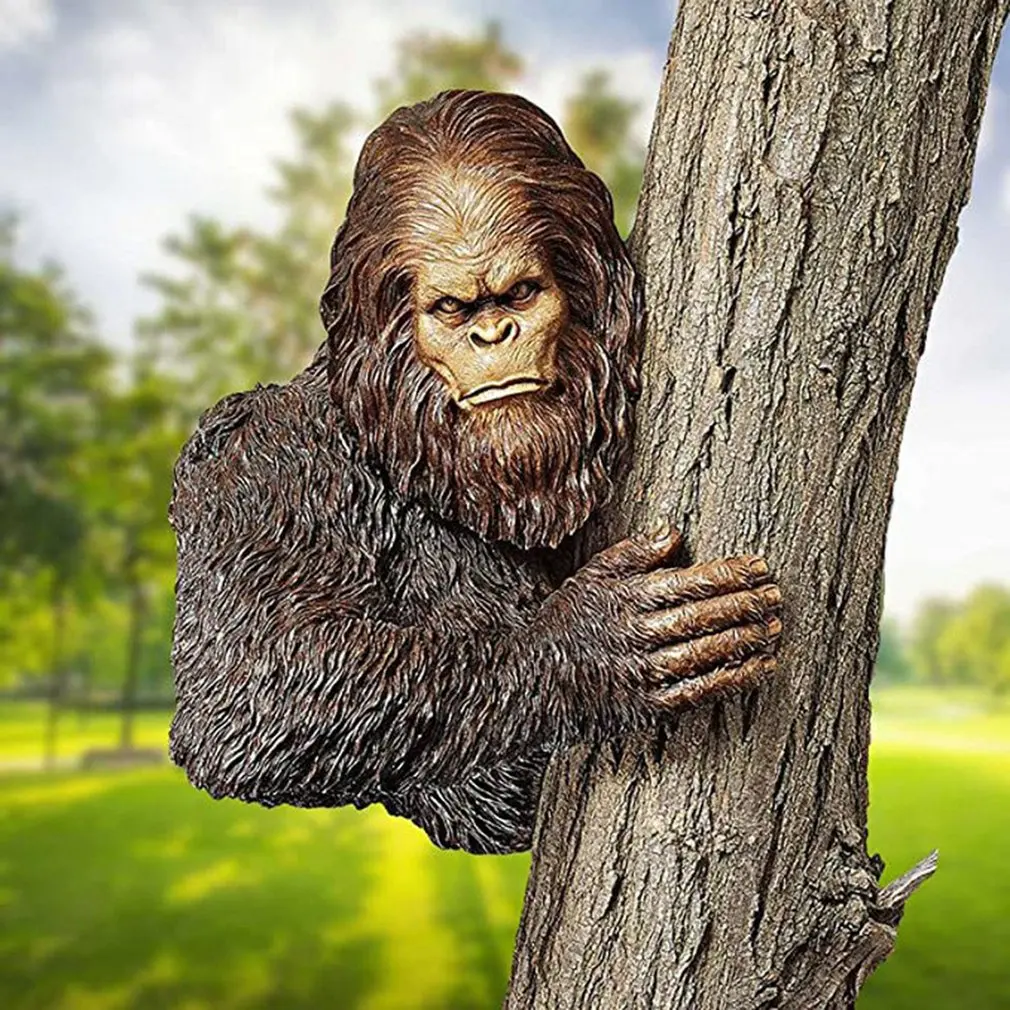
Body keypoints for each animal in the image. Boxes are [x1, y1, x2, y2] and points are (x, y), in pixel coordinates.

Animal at [168, 90, 782, 855]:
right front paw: (590, 645)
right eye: (453, 308)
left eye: (520, 294)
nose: (492, 336)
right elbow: (249, 687)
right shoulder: (262, 464)